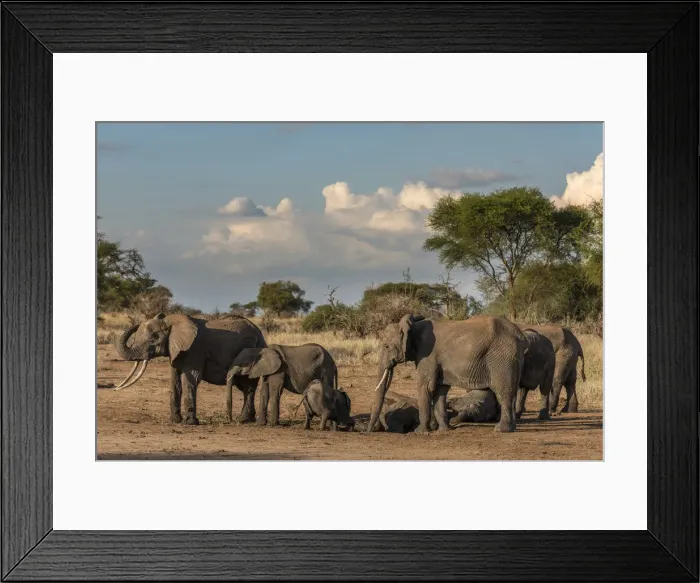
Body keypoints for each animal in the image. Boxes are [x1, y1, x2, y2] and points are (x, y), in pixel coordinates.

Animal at [114, 313, 266, 425]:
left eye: (152, 340)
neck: (169, 322)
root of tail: (259, 331)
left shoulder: (194, 350)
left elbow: (191, 379)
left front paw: (188, 423)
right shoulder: (175, 350)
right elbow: (175, 381)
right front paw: (174, 421)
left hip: (254, 352)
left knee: (248, 385)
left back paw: (244, 420)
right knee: (246, 388)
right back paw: (247, 420)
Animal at [368, 314, 528, 434]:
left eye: (386, 346)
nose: (369, 431)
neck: (412, 325)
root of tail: (520, 335)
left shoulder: (427, 354)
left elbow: (425, 386)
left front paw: (420, 432)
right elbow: (440, 389)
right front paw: (445, 430)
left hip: (502, 358)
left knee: (503, 392)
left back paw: (501, 429)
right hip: (513, 359)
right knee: (512, 392)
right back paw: (511, 428)